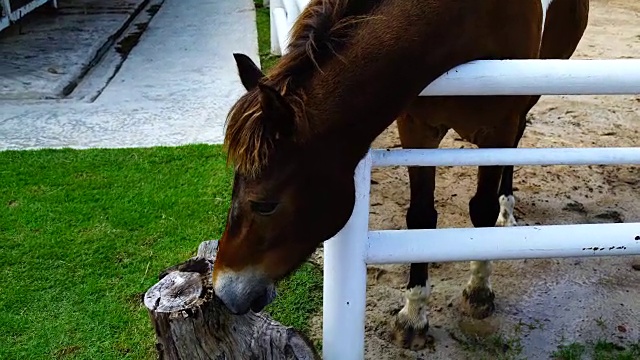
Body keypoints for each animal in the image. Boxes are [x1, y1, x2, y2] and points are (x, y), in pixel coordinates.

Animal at [214, 0, 592, 350]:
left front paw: (479, 290)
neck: (468, 21)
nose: (223, 291)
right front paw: (413, 316)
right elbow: (421, 218)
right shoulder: (417, 128)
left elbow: (481, 210)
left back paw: (506, 207)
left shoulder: (496, 129)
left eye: (265, 205)